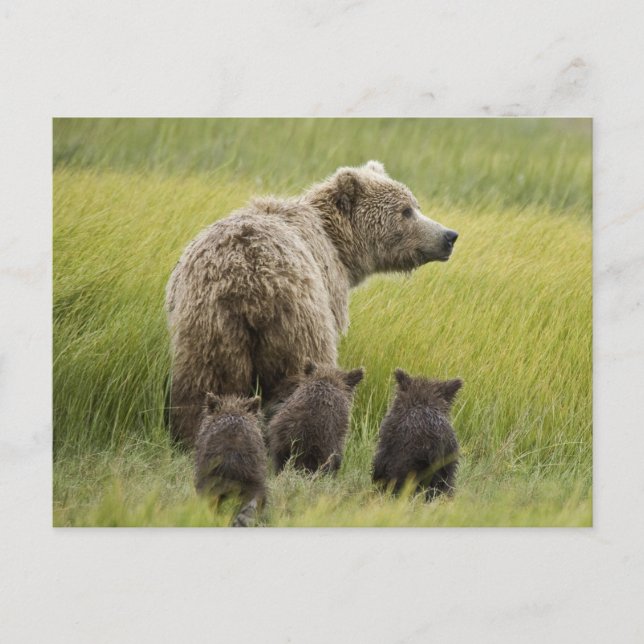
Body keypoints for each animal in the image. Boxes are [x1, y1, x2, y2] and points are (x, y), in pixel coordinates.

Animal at [166, 161, 458, 447]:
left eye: (416, 206)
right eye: (406, 211)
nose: (449, 235)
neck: (339, 245)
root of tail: (245, 280)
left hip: (209, 323)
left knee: (207, 381)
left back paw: (194, 435)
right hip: (297, 320)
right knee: (299, 375)